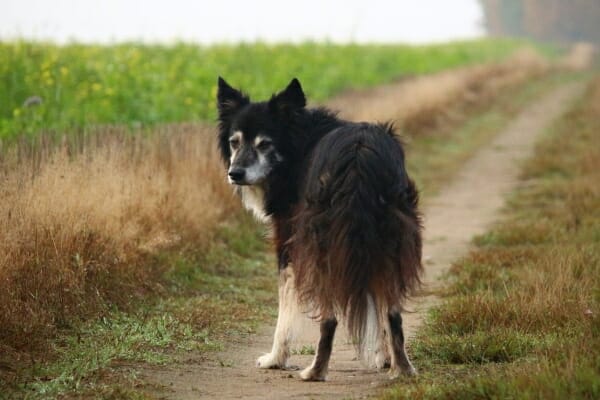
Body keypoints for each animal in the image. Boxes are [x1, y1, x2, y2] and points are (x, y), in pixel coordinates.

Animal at [216, 76, 422, 380]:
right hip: (390, 241)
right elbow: (381, 310)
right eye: (234, 142)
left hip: (321, 247)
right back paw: (404, 369)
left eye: (265, 144)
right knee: (393, 312)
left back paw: (314, 371)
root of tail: (358, 154)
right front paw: (384, 359)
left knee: (329, 318)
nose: (235, 174)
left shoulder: (288, 245)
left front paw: (274, 359)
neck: (297, 144)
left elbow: (285, 309)